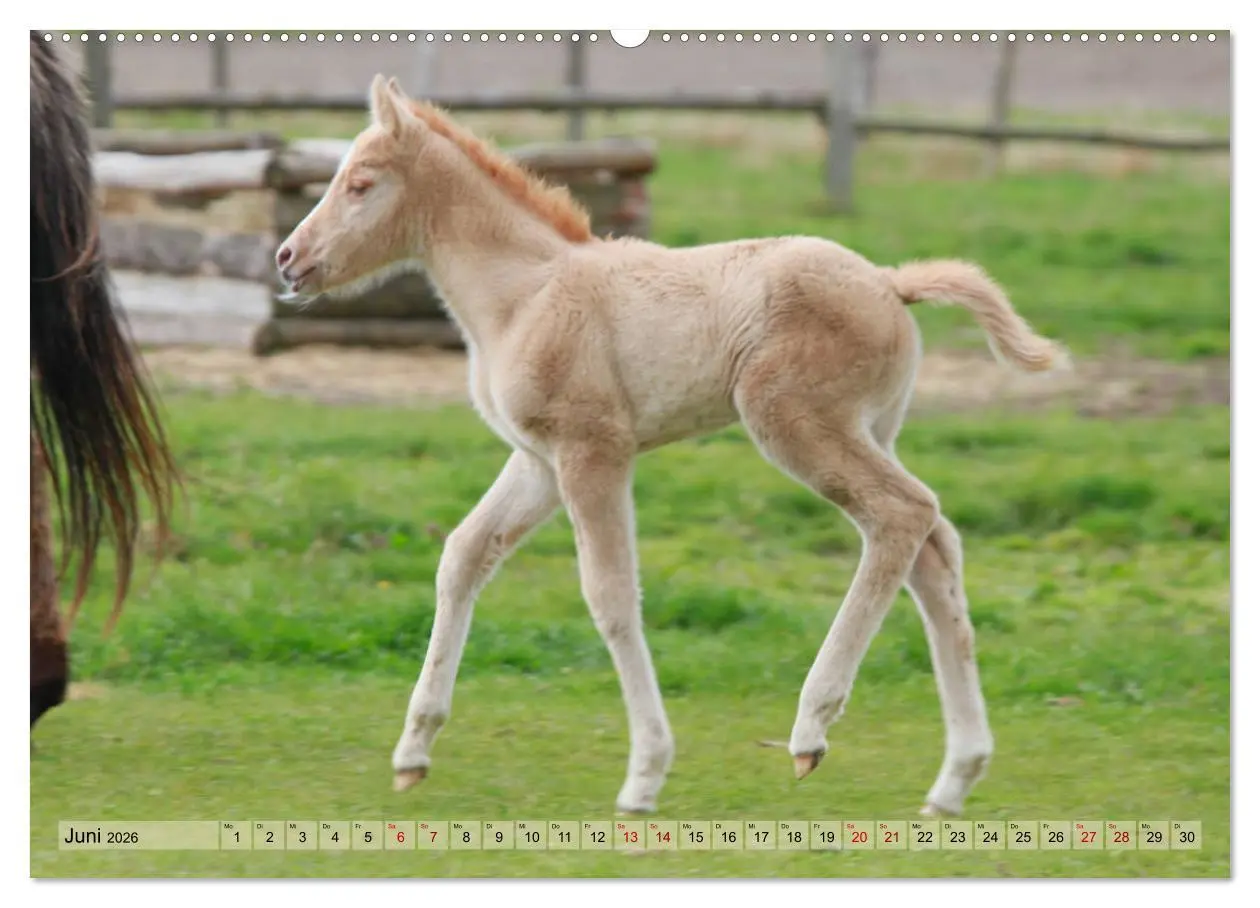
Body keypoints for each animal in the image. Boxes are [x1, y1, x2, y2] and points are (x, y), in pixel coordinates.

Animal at [274, 74, 1070, 816]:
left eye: (360, 184)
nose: (287, 258)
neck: (523, 297)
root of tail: (889, 282)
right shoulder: (537, 462)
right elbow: (463, 557)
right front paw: (413, 753)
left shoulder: (593, 450)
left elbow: (610, 595)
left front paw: (644, 776)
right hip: (872, 429)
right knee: (935, 545)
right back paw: (954, 777)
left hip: (794, 424)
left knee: (901, 515)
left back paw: (812, 728)